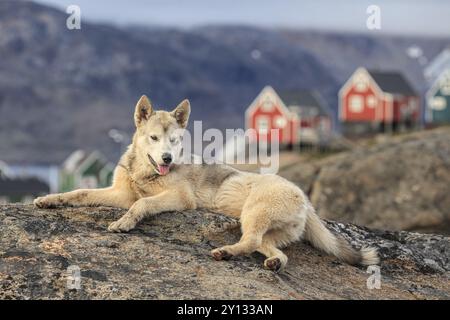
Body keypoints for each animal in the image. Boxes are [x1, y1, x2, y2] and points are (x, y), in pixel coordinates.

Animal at [34, 95, 380, 272]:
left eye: (174, 140)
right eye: (154, 138)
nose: (167, 158)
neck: (145, 171)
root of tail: (306, 201)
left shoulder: (179, 198)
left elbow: (142, 203)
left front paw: (125, 223)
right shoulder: (119, 193)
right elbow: (80, 192)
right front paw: (50, 199)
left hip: (252, 213)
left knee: (250, 242)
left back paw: (224, 252)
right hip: (268, 230)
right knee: (277, 254)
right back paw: (269, 262)